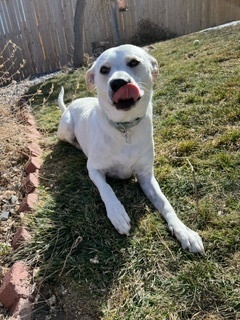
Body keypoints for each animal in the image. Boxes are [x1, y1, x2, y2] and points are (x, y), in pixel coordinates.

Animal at [57, 44, 203, 252]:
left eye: (134, 62)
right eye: (104, 69)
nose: (118, 83)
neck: (124, 127)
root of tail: (71, 105)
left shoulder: (146, 176)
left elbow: (166, 204)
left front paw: (184, 231)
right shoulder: (94, 169)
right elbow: (106, 189)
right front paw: (117, 214)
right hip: (67, 129)